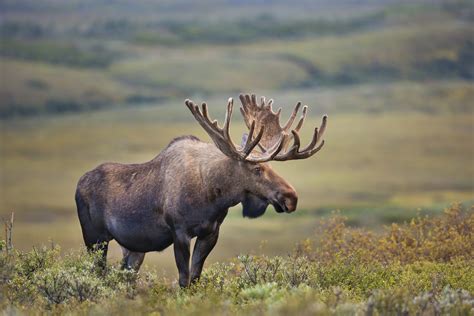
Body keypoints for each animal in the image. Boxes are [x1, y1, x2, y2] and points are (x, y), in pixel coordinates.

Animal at [76, 93, 328, 286]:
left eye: (272, 166)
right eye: (257, 169)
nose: (291, 197)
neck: (213, 197)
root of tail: (79, 184)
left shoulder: (210, 232)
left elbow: (196, 277)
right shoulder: (179, 232)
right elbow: (183, 279)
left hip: (133, 248)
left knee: (124, 277)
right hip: (94, 238)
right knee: (97, 273)